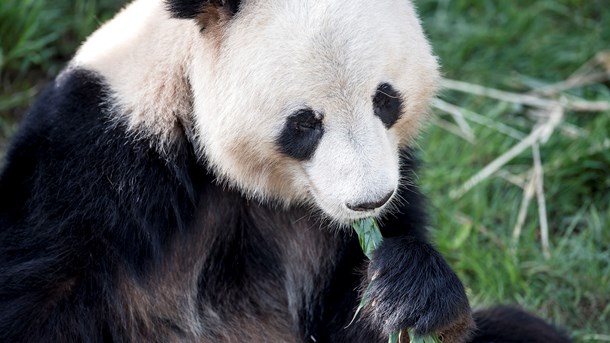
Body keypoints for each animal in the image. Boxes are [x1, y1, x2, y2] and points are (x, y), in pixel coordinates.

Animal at [0, 0, 568, 343]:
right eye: (305, 123)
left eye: (385, 100)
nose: (369, 201)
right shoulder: (93, 168)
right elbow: (39, 296)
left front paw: (409, 292)